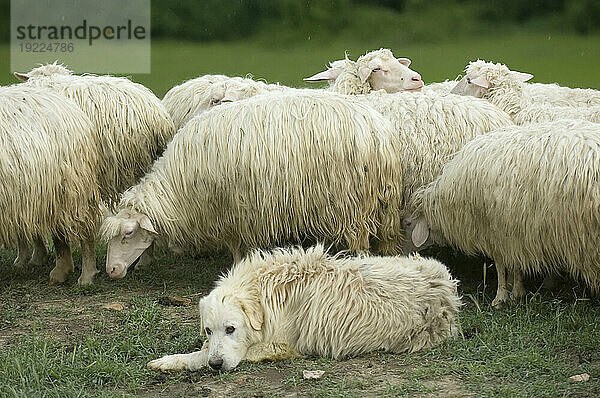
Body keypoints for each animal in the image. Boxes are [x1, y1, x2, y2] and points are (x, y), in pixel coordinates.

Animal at [0, 85, 101, 286]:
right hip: (47, 193)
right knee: (59, 231)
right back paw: (60, 271)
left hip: (72, 190)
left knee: (85, 232)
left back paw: (86, 277)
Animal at [101, 90, 406, 276]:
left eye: (128, 233)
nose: (112, 271)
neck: (179, 185)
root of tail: (377, 130)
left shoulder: (233, 211)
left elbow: (237, 247)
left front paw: (236, 267)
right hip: (385, 202)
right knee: (388, 239)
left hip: (352, 203)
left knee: (360, 242)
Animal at [145, 244, 460, 372]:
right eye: (209, 330)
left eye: (231, 329)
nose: (216, 365)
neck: (266, 294)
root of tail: (446, 283)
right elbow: (203, 349)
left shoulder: (282, 344)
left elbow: (203, 355)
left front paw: (170, 361)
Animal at [400, 119, 600, 306]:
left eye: (408, 223)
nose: (400, 255)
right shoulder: (513, 232)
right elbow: (513, 264)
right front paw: (516, 288)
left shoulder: (498, 230)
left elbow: (502, 264)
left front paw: (504, 295)